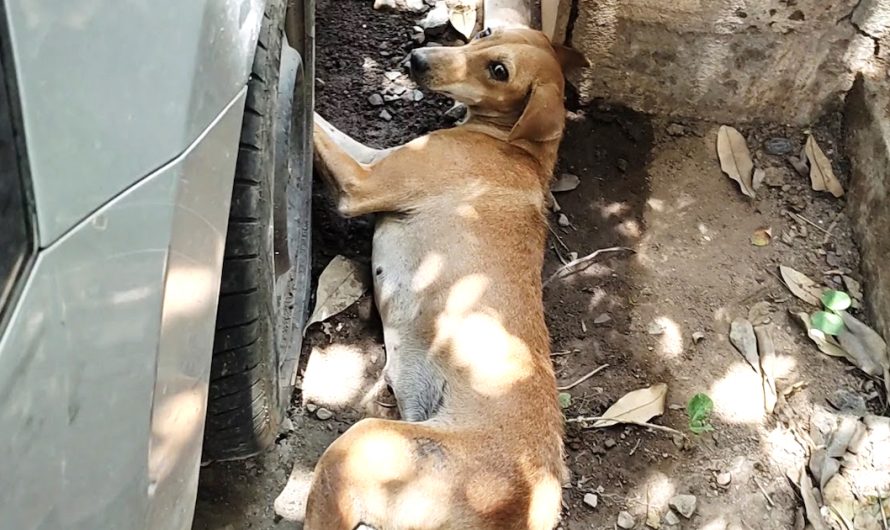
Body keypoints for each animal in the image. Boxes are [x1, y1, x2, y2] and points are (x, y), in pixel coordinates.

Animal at [302, 26, 588, 524]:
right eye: (487, 31)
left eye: (499, 70)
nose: (416, 58)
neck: (513, 144)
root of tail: (530, 497)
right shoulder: (376, 158)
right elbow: (333, 129)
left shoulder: (362, 184)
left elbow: (320, 128)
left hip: (364, 444)